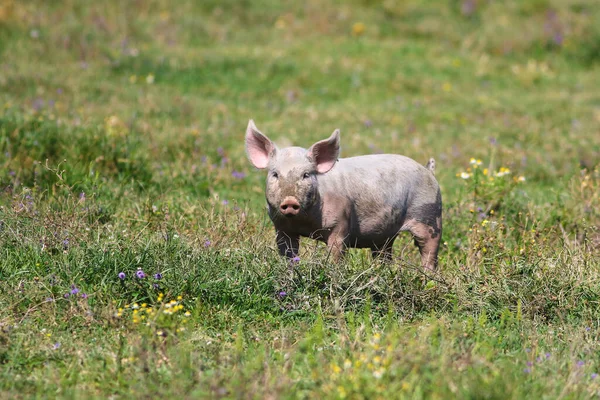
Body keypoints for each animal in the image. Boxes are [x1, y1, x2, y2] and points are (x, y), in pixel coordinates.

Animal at [246, 117, 442, 270]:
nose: (290, 201)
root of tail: (428, 171)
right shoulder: (281, 228)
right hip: (386, 233)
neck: (305, 222)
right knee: (384, 254)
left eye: (306, 175)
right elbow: (288, 253)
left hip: (430, 215)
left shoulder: (341, 221)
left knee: (429, 251)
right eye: (275, 174)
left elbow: (336, 252)